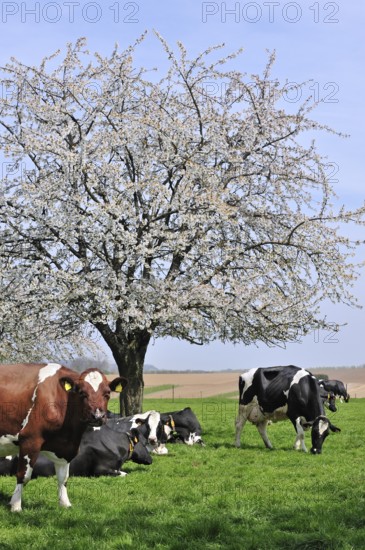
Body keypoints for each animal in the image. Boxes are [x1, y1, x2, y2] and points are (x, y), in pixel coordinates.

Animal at [0, 362, 126, 512]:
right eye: (82, 393)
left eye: (107, 393)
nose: (97, 416)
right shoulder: (29, 440)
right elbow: (23, 476)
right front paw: (16, 506)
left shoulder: (67, 448)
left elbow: (63, 478)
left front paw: (65, 504)